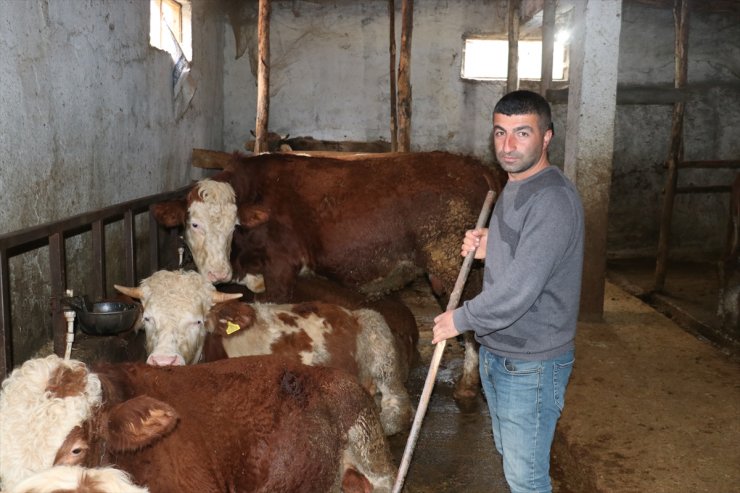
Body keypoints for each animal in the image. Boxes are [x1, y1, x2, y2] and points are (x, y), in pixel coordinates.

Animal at [118, 270, 414, 434]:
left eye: (198, 321)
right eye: (148, 319)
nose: (163, 360)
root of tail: (351, 313)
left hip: (381, 344)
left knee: (397, 408)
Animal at [152, 152, 500, 402]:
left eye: (234, 226)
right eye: (194, 224)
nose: (218, 272)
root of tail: (477, 167)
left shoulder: (280, 268)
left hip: (454, 263)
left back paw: (468, 386)